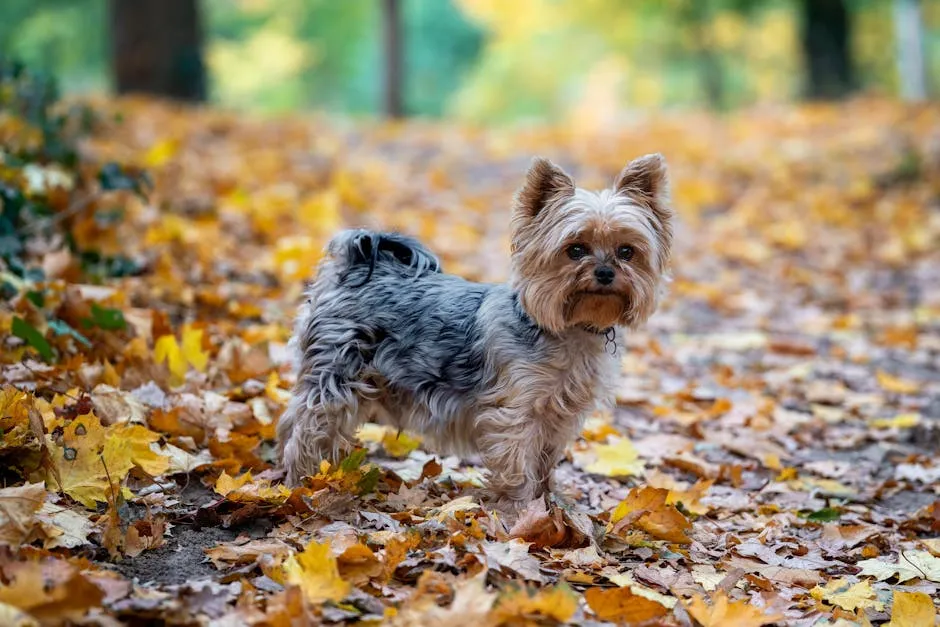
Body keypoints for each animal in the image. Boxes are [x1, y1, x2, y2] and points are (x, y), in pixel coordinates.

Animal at [276, 155, 672, 502]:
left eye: (626, 251)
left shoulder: (558, 417)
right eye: (575, 250)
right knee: (308, 428)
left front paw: (550, 506)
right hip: (336, 376)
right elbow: (519, 468)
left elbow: (544, 464)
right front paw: (524, 514)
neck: (569, 328)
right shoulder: (514, 414)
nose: (605, 272)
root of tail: (357, 266)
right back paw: (303, 483)